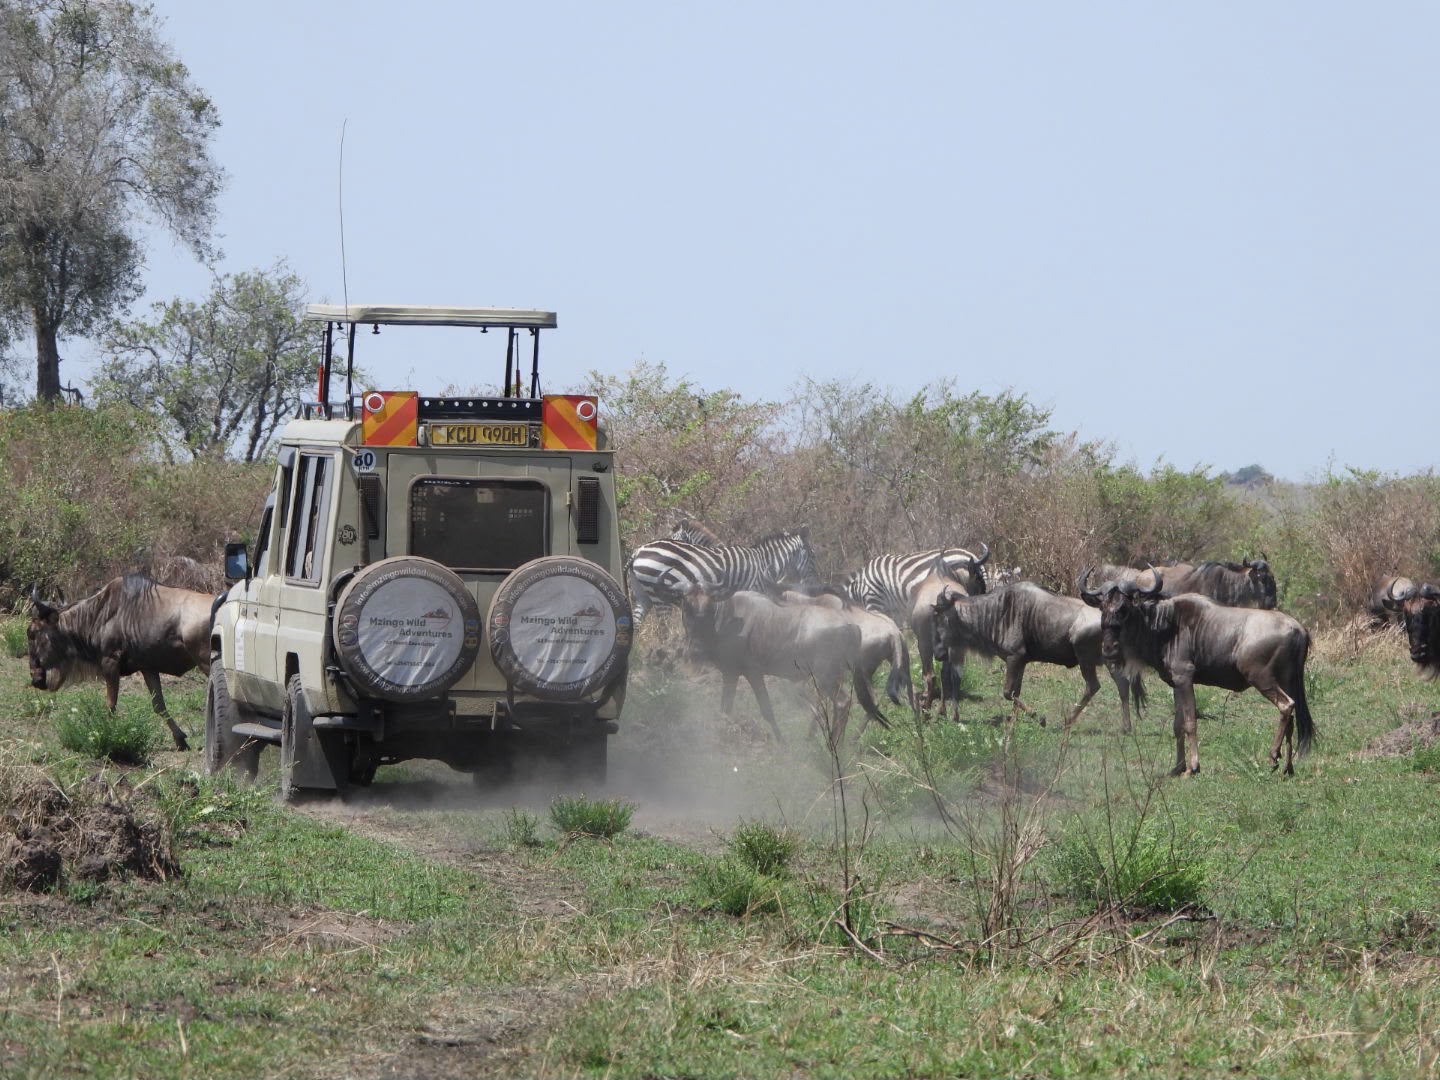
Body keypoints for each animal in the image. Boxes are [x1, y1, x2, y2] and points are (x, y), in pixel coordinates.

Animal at [626, 527, 821, 624]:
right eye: (813, 556)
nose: (814, 585)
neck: (765, 563)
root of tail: (638, 551)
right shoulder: (752, 591)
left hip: (643, 596)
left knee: (637, 623)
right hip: (660, 597)